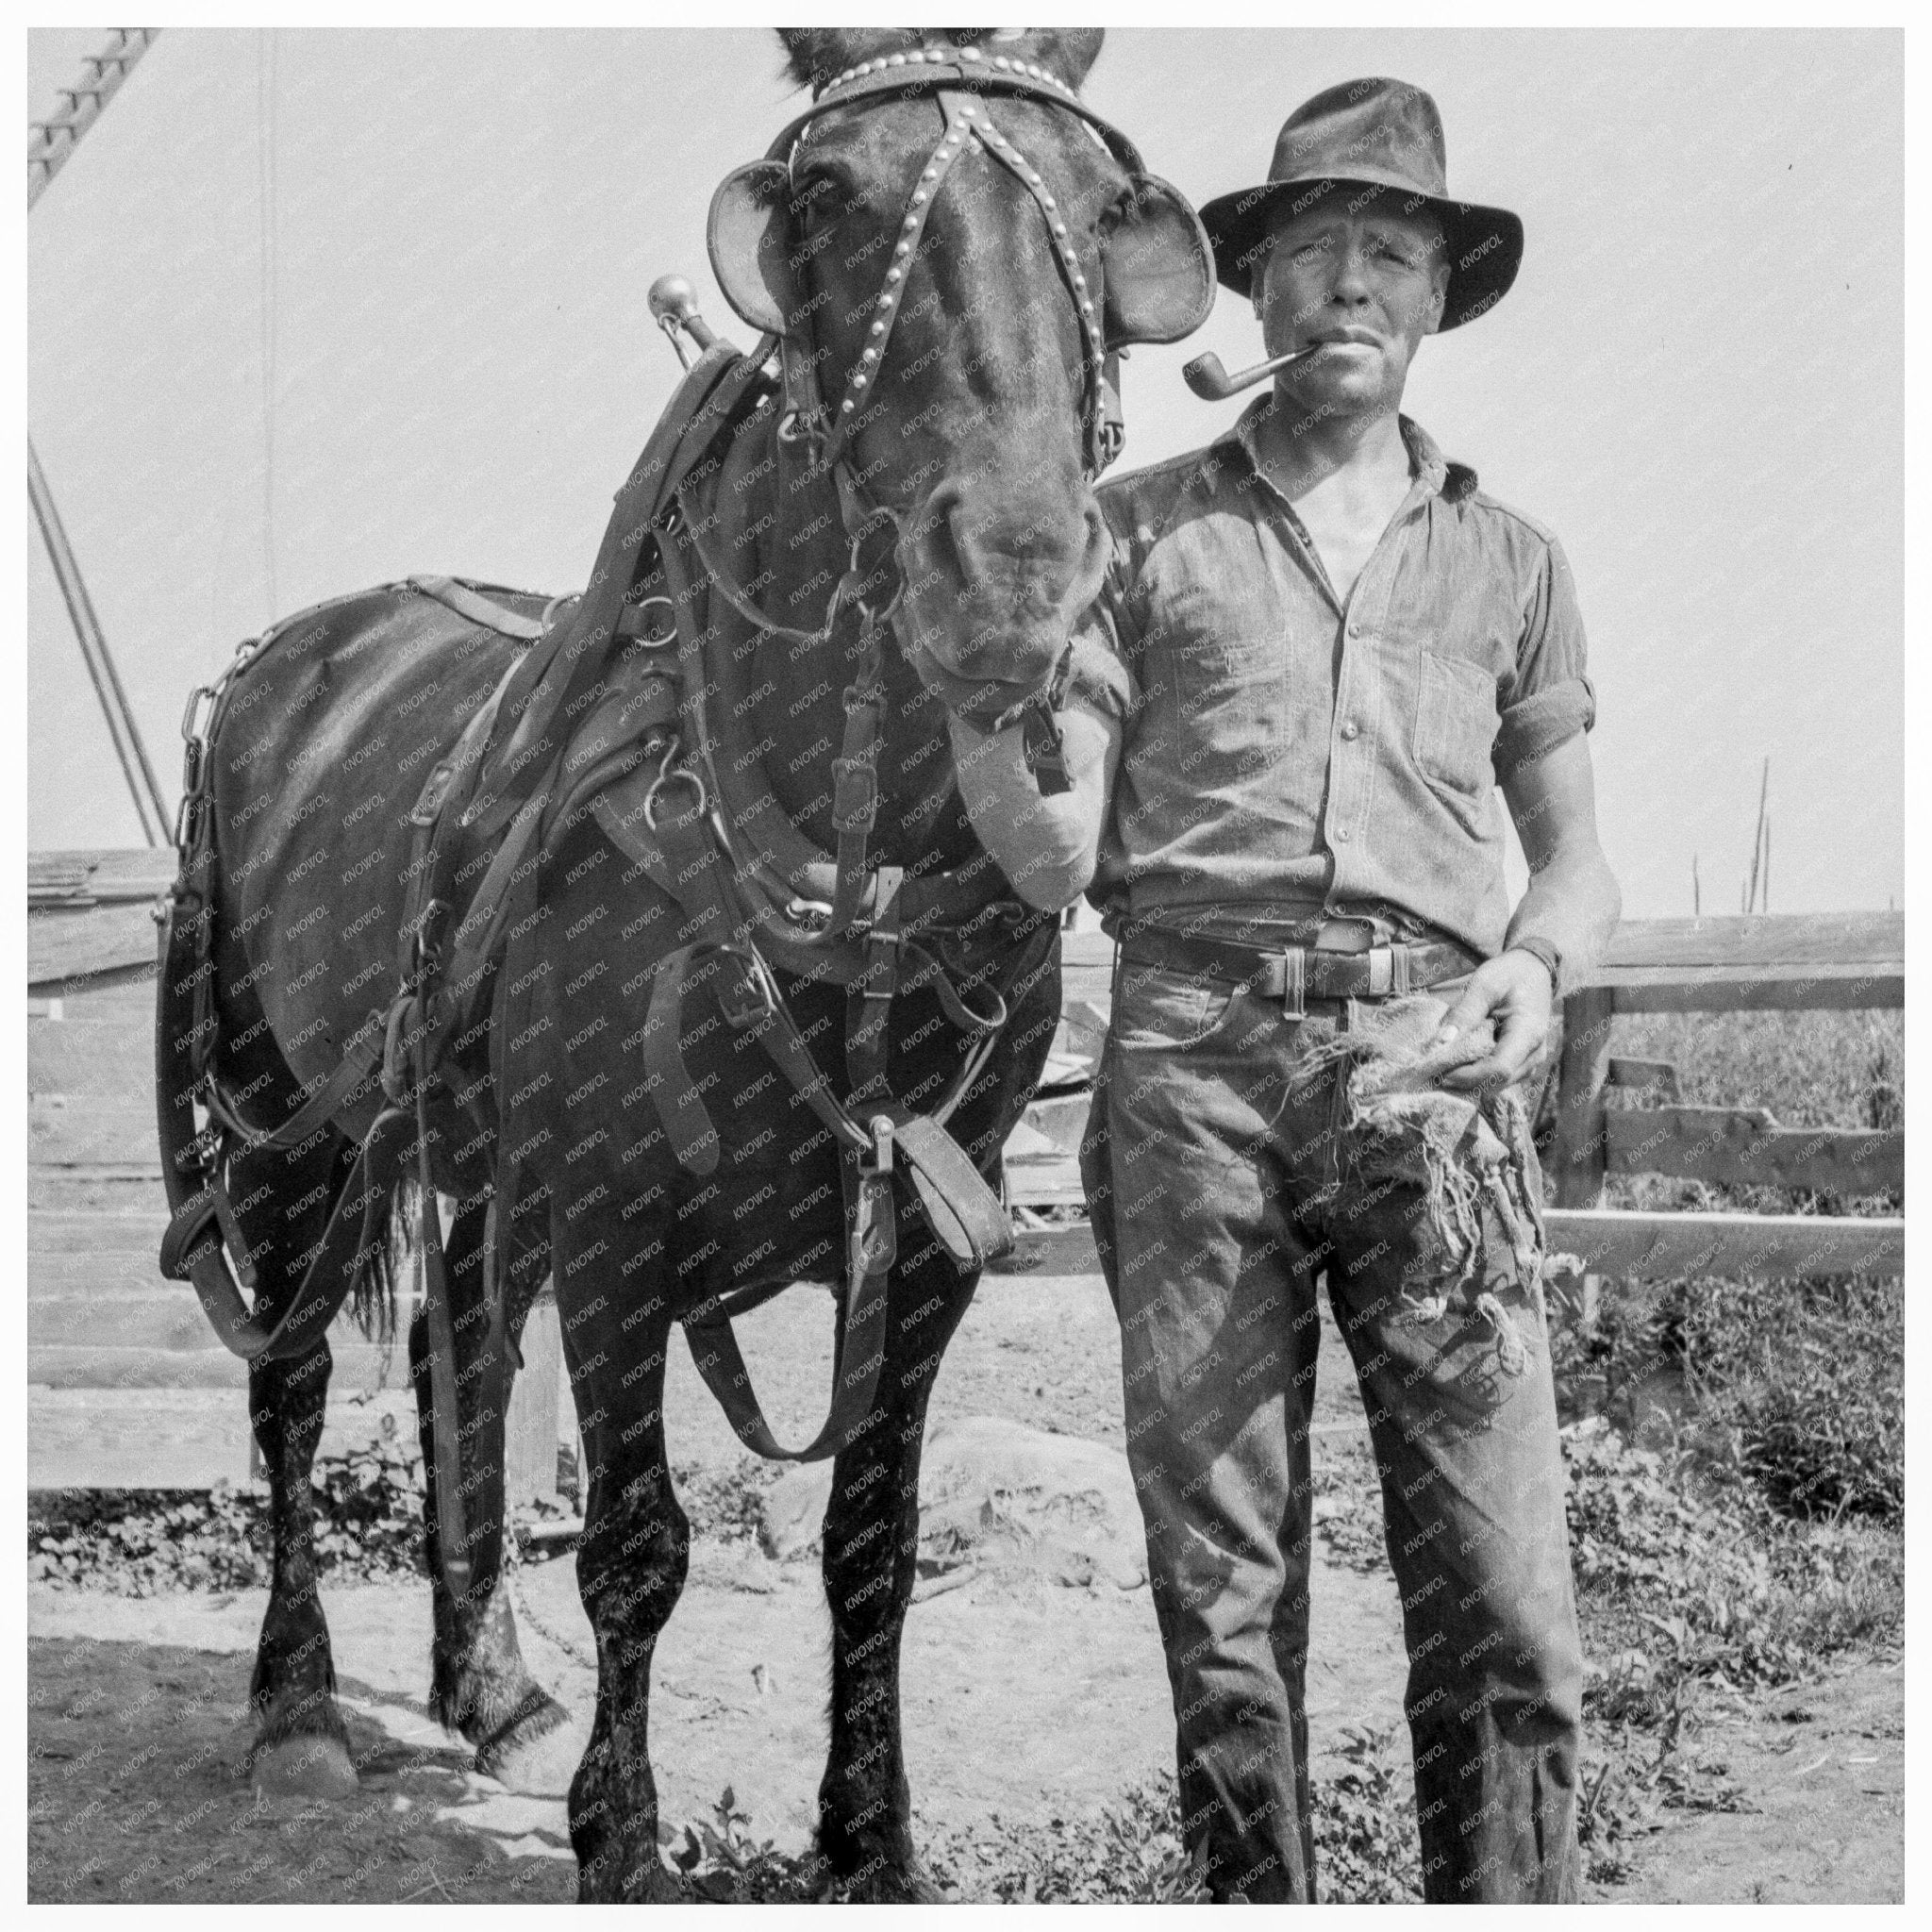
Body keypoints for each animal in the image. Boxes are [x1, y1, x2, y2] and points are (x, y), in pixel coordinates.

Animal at [158, 26, 1197, 1901]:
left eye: (1109, 208)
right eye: (822, 197)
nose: (1010, 582)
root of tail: (292, 653)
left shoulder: (932, 1224)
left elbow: (872, 1535)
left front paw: (870, 1842)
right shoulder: (614, 1208)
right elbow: (637, 1541)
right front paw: (623, 1840)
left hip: (477, 1138)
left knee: (460, 1354)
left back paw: (489, 1685)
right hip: (294, 1111)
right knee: (292, 1379)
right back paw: (297, 1708)